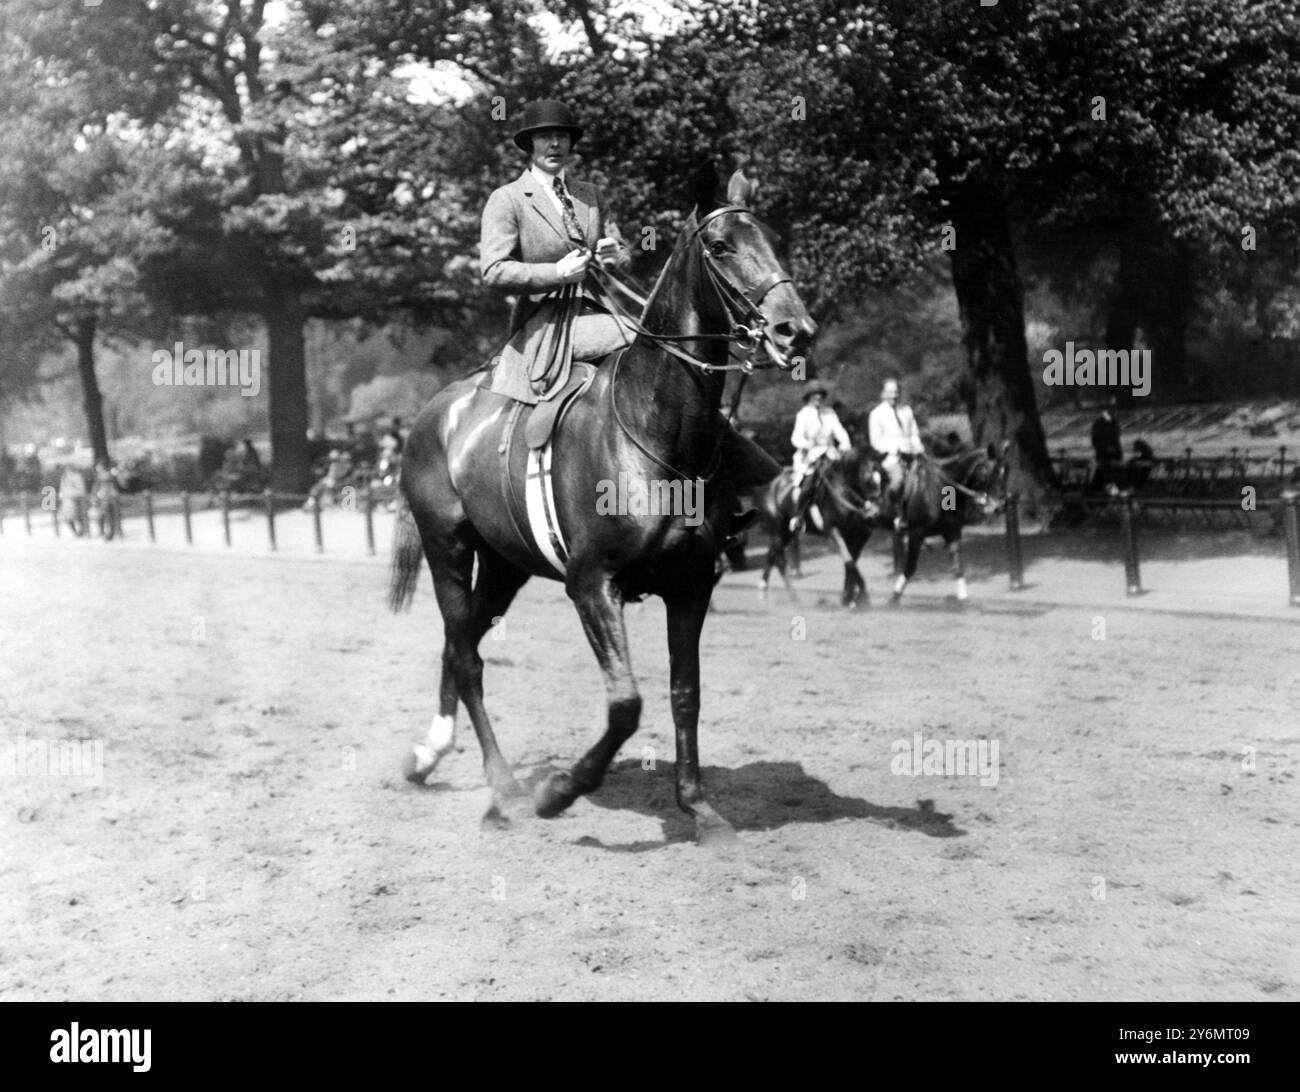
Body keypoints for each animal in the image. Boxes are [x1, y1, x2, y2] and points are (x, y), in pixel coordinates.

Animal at [387, 169, 811, 842]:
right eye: (721, 246)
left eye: (773, 238)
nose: (794, 329)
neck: (652, 430)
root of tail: (434, 411)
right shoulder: (592, 585)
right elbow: (626, 704)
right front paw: (560, 791)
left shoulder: (692, 585)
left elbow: (685, 694)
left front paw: (698, 806)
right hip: (447, 551)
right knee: (466, 655)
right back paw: (504, 790)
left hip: (504, 567)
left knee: (463, 647)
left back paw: (430, 754)